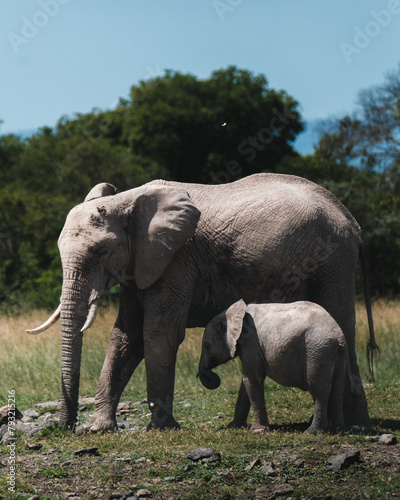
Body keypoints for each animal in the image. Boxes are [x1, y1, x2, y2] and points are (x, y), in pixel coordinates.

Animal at [198, 300, 360, 434]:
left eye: (206, 346)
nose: (208, 373)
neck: (233, 313)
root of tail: (339, 337)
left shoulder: (251, 344)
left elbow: (252, 379)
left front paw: (258, 431)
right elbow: (247, 382)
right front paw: (234, 427)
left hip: (318, 351)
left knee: (319, 389)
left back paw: (311, 432)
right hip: (336, 355)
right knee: (338, 388)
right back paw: (337, 429)